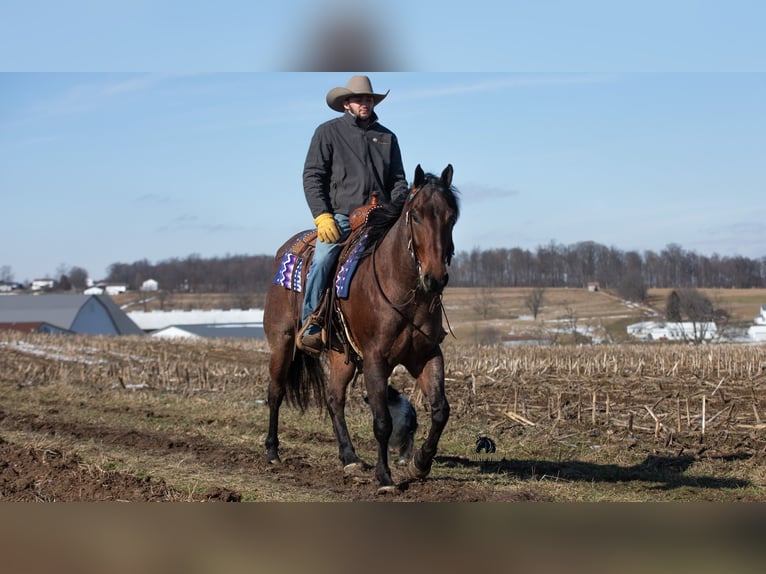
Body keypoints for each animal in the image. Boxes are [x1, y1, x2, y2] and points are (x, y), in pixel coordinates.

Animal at [263, 164, 459, 493]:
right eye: (416, 215)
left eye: (451, 216)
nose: (435, 278)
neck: (402, 290)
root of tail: (285, 250)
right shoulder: (375, 359)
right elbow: (382, 421)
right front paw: (385, 478)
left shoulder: (427, 355)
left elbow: (440, 410)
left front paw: (420, 463)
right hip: (283, 342)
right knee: (276, 391)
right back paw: (272, 451)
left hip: (340, 356)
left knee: (334, 399)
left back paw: (350, 458)